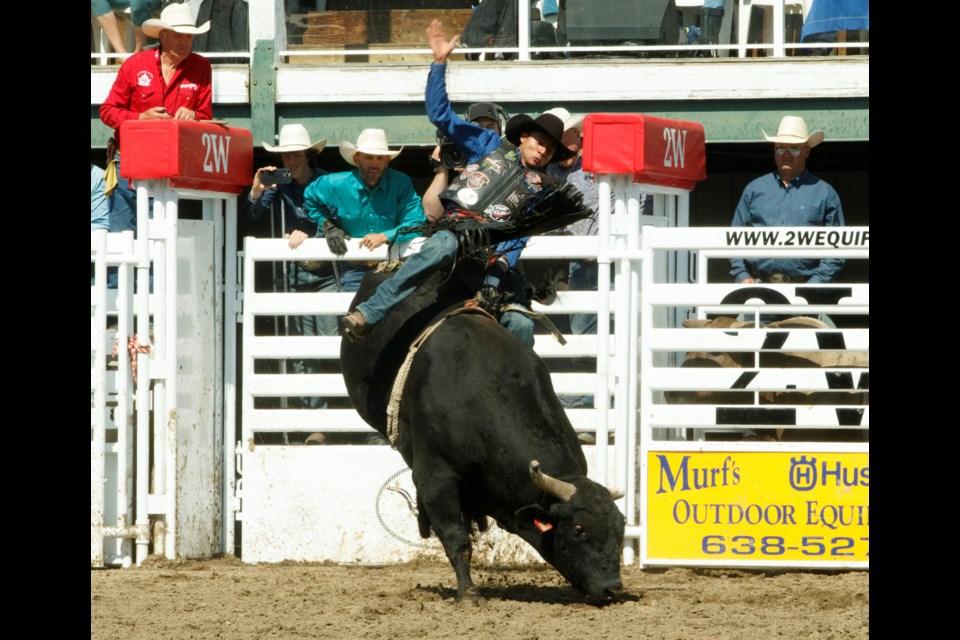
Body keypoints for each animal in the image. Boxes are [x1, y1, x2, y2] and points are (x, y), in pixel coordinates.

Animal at [342, 268, 628, 604]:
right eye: (580, 528)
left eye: (621, 526)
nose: (612, 587)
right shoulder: (436, 477)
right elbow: (456, 538)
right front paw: (468, 594)